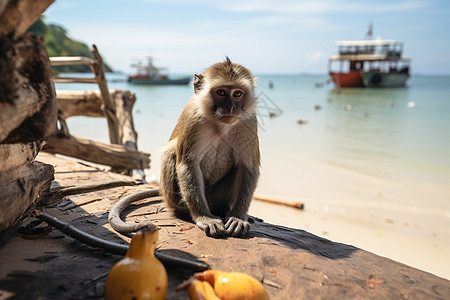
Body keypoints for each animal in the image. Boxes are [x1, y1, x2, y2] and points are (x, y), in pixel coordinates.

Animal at [161, 57, 260, 238]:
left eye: (237, 94)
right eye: (221, 92)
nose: (231, 107)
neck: (220, 124)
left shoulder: (248, 121)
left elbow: (247, 167)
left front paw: (238, 216)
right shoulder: (194, 118)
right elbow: (188, 165)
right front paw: (204, 217)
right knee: (171, 153)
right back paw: (186, 210)